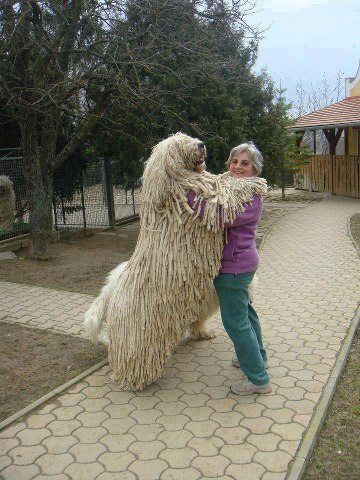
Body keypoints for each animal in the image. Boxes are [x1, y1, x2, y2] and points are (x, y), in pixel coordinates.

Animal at [83, 132, 266, 390]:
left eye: (188, 136)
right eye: (180, 145)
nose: (201, 144)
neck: (172, 187)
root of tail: (111, 290)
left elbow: (221, 180)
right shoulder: (203, 202)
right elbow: (226, 195)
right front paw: (254, 182)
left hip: (204, 297)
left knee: (196, 319)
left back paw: (203, 333)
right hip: (140, 333)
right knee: (130, 355)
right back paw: (133, 380)